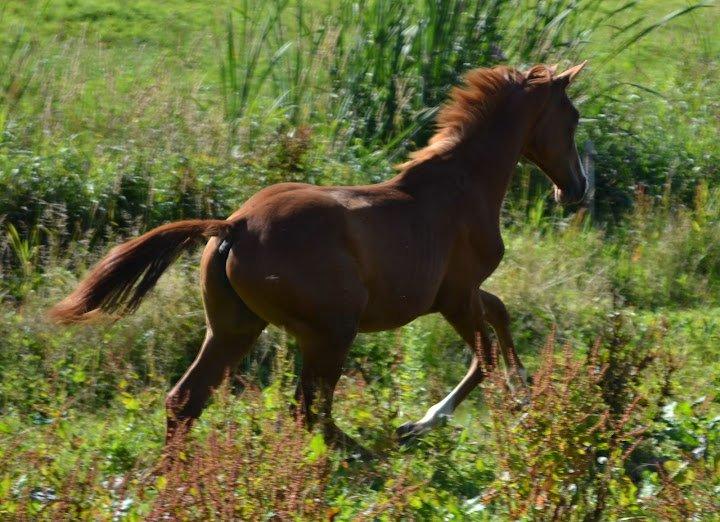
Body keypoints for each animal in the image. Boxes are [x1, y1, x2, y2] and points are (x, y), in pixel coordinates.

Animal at [52, 62, 592, 450]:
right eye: (573, 117)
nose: (576, 189)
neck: (462, 185)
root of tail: (234, 226)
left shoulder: (465, 292)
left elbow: (500, 316)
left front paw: (523, 392)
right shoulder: (455, 296)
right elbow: (485, 356)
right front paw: (432, 421)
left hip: (233, 328)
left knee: (186, 400)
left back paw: (174, 481)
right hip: (331, 331)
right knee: (310, 412)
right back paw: (367, 455)